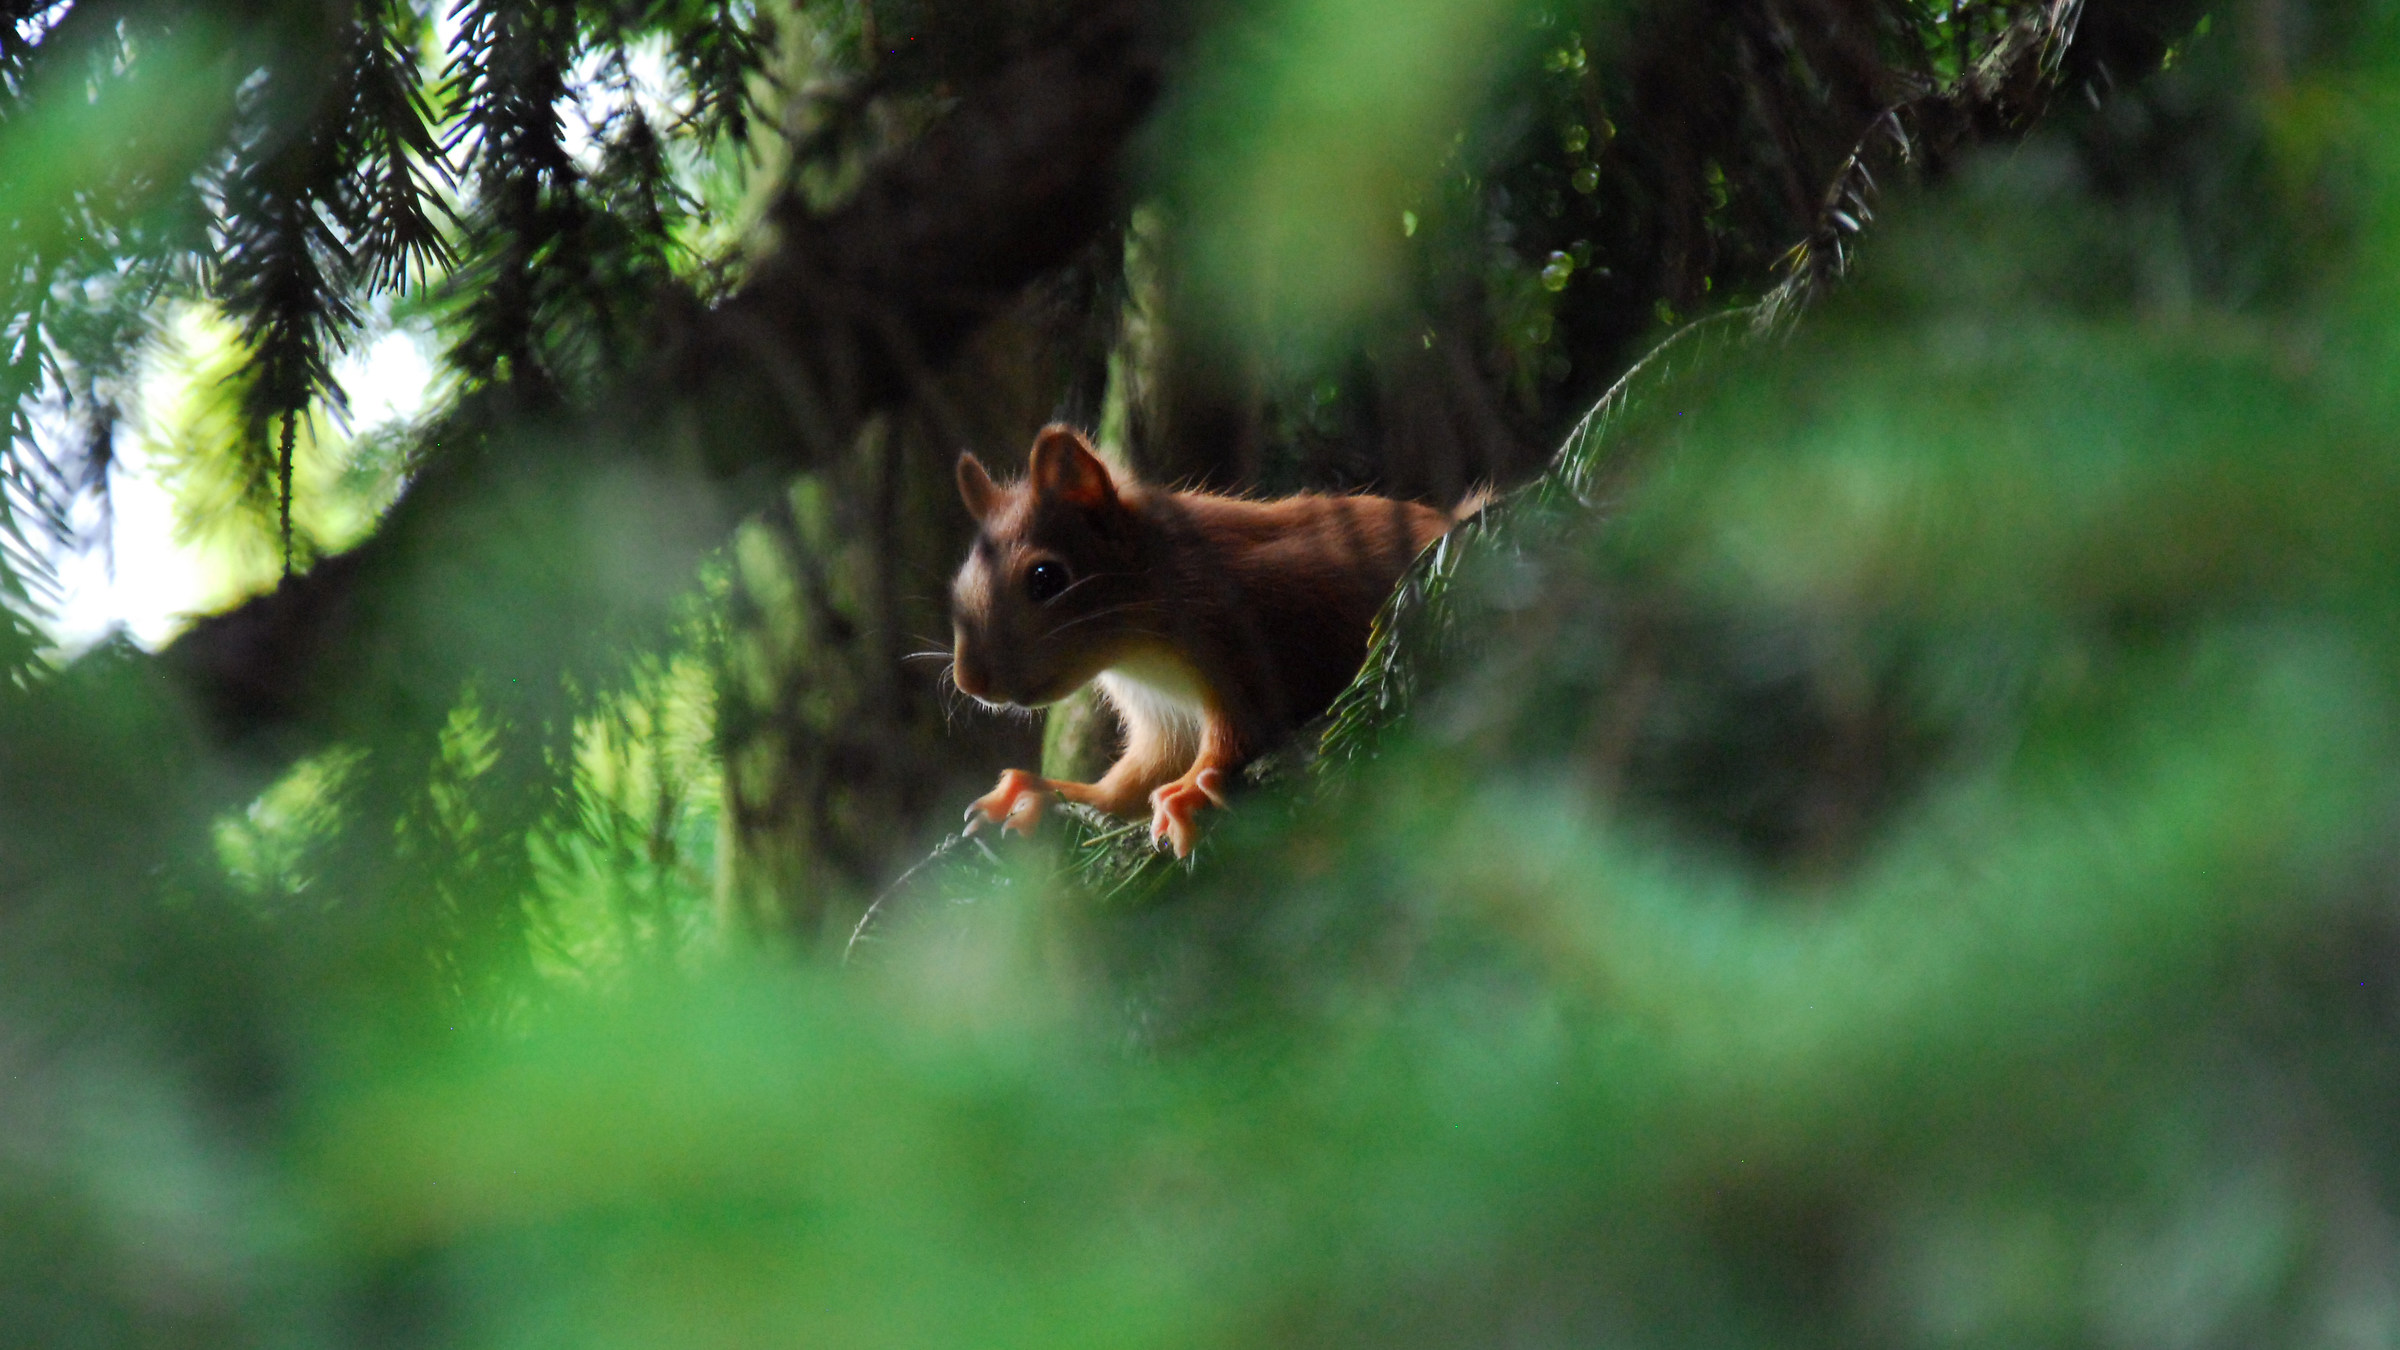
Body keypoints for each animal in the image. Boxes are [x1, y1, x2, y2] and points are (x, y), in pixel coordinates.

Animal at [947, 423, 1462, 857]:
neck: (1139, 655)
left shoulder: (1258, 636)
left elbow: (1241, 728)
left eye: (1045, 579)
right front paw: (1040, 791)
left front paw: (1190, 789)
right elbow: (1130, 783)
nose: (970, 683)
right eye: (959, 584)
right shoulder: (1162, 717)